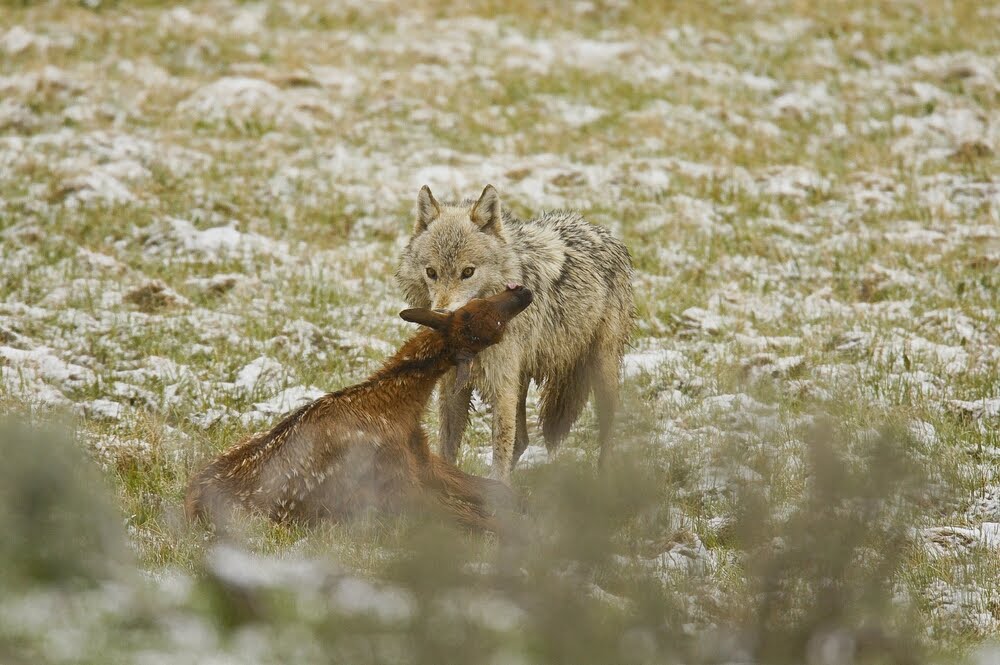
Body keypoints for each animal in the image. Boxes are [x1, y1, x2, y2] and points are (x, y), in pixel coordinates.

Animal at [185, 284, 534, 534]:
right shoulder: (398, 485)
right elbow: (477, 516)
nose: (522, 292)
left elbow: (494, 490)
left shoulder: (423, 459)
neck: (399, 410)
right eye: (483, 321)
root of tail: (189, 506)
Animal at [396, 184, 634, 481]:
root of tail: (602, 231)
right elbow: (447, 449)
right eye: (431, 272)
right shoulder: (453, 386)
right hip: (521, 380)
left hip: (600, 370)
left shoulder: (501, 387)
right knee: (522, 440)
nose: (440, 316)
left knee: (608, 433)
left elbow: (500, 451)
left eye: (468, 272)